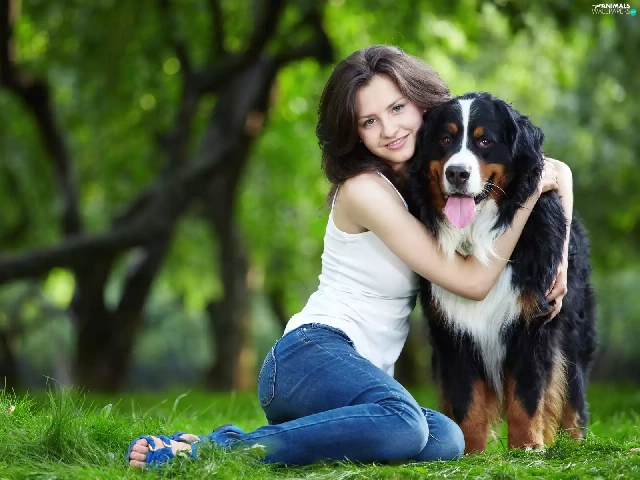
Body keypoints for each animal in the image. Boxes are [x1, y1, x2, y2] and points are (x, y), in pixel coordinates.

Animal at [407, 92, 598, 452]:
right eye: (445, 140)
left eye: (485, 141)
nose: (457, 173)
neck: (478, 235)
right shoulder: (453, 328)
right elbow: (467, 399)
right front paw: (472, 451)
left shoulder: (533, 321)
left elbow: (527, 395)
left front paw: (527, 448)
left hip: (575, 333)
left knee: (574, 395)